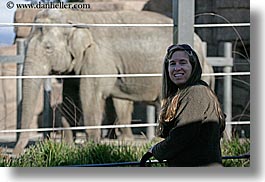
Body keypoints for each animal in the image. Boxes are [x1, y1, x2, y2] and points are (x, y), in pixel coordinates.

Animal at [12, 9, 214, 155]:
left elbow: (89, 96)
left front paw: (91, 147)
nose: (15, 154)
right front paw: (67, 148)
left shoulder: (98, 58)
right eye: (26, 43)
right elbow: (69, 96)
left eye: (48, 48)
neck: (76, 16)